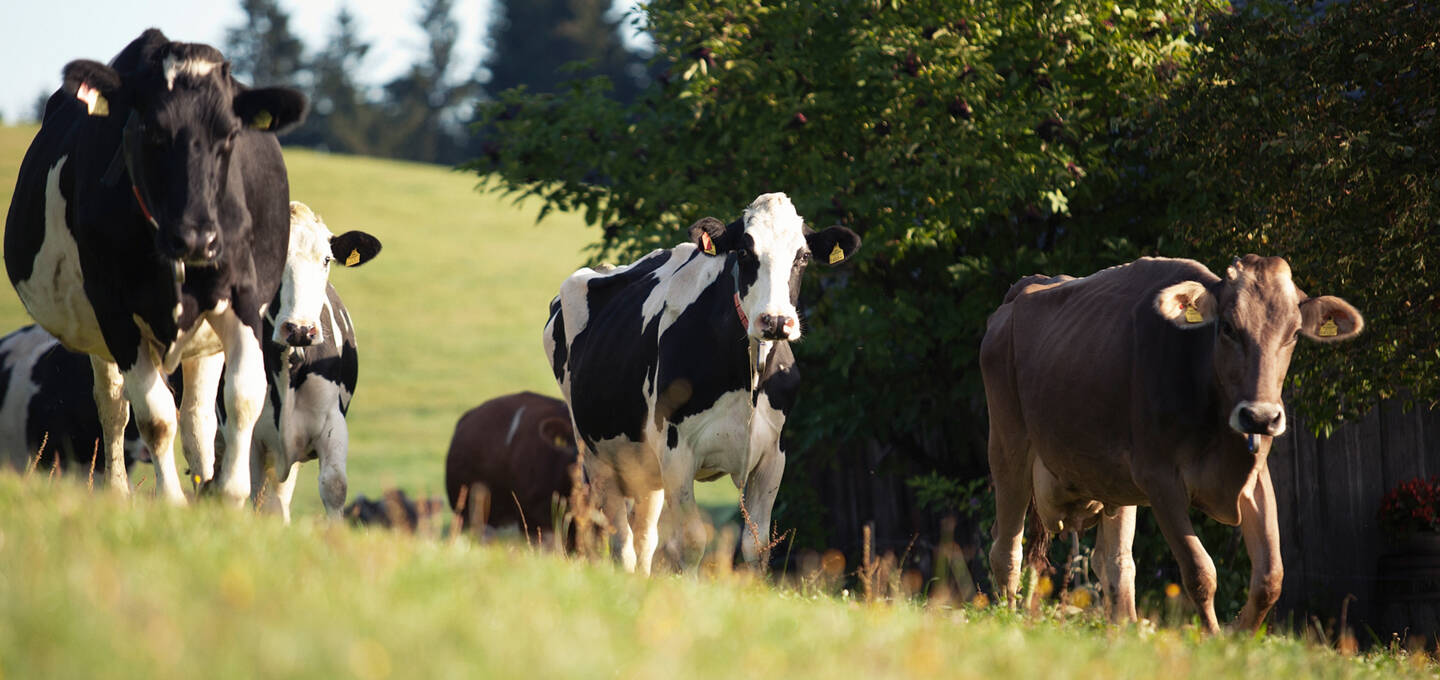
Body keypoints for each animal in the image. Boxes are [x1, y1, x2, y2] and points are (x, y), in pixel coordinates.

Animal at [541, 191, 852, 573]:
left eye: (803, 256)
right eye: (744, 252)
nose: (776, 320)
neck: (747, 378)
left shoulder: (772, 455)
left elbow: (757, 545)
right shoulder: (677, 453)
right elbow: (690, 542)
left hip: (646, 468)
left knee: (644, 539)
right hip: (597, 455)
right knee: (622, 543)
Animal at [984, 255, 1365, 631]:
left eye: (1294, 333)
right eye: (1227, 327)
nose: (1259, 416)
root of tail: (1022, 290)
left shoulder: (1256, 479)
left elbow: (1270, 577)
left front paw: (1239, 636)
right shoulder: (1159, 478)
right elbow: (1200, 571)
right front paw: (1214, 638)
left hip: (1113, 482)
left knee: (1114, 562)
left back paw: (1125, 628)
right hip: (1008, 448)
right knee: (1006, 549)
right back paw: (1010, 620)